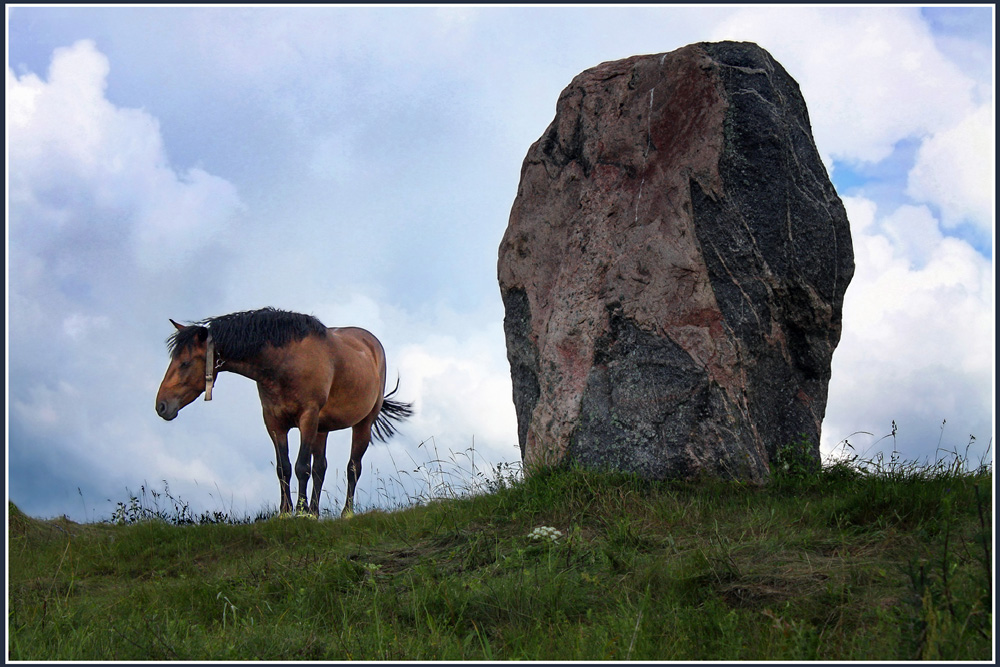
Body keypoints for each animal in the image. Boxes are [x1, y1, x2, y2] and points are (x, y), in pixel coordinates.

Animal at [153, 306, 410, 520]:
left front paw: (301, 512)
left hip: (362, 424)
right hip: (322, 429)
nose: (161, 405)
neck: (284, 362)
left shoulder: (307, 418)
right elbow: (284, 468)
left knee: (353, 467)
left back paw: (345, 512)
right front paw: (286, 512)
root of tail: (372, 344)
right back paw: (315, 511)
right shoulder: (274, 423)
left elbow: (301, 467)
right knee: (321, 467)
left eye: (185, 363)